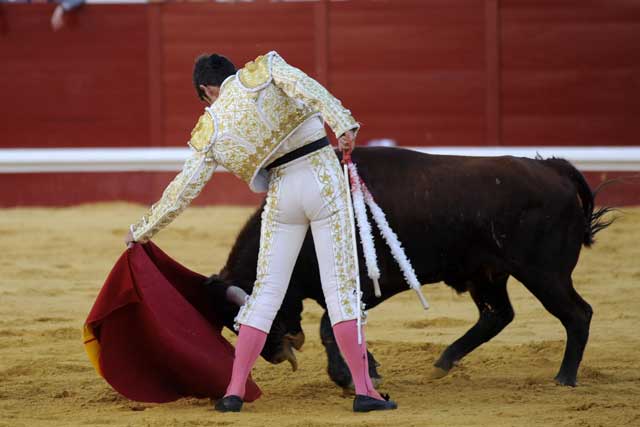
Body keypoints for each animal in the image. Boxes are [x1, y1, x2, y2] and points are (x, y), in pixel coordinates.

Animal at [208, 148, 612, 392]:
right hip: (487, 274)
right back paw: (442, 363)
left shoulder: (365, 286)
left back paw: (564, 378)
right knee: (497, 315)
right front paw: (368, 371)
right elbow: (340, 328)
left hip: (545, 273)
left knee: (577, 314)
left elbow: (331, 328)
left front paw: (350, 378)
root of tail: (550, 167)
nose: (275, 356)